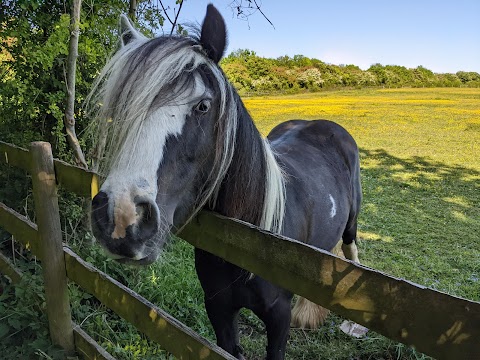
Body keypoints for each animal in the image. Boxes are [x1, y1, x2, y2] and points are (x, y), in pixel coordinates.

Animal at [89, 4, 360, 358]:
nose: (120, 219)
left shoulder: (278, 316)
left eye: (203, 105)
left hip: (351, 225)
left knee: (352, 255)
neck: (248, 239)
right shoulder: (218, 310)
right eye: (124, 108)